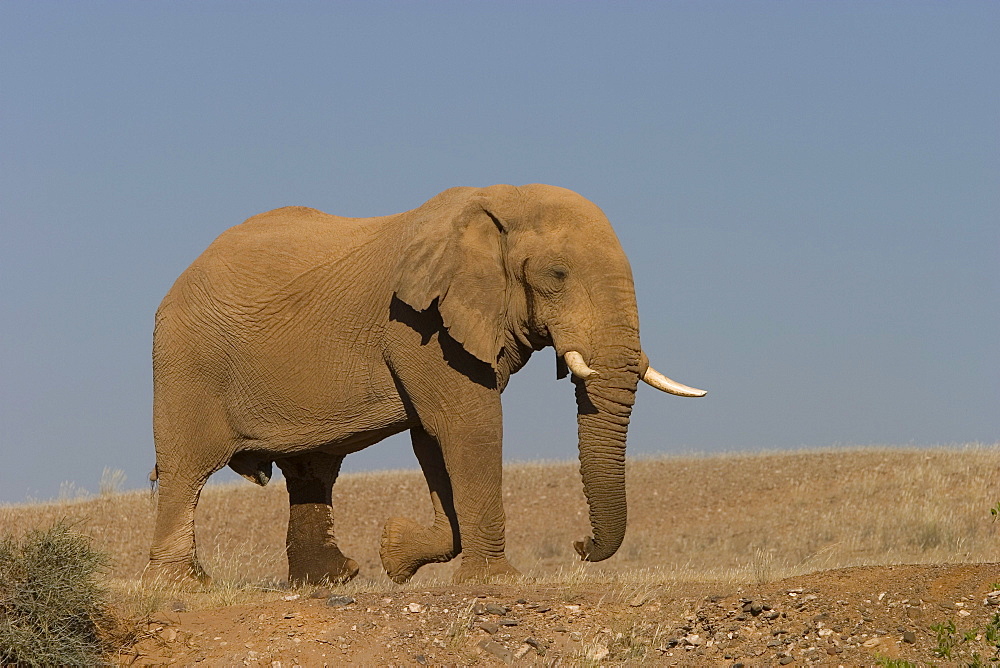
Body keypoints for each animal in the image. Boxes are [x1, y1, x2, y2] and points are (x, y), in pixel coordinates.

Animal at [148, 183, 708, 584]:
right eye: (557, 274)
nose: (580, 546)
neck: (502, 201)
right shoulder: (418, 324)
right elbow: (469, 426)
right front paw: (497, 582)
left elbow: (432, 439)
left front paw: (395, 555)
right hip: (184, 362)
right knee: (186, 468)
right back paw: (185, 585)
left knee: (312, 469)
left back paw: (332, 580)